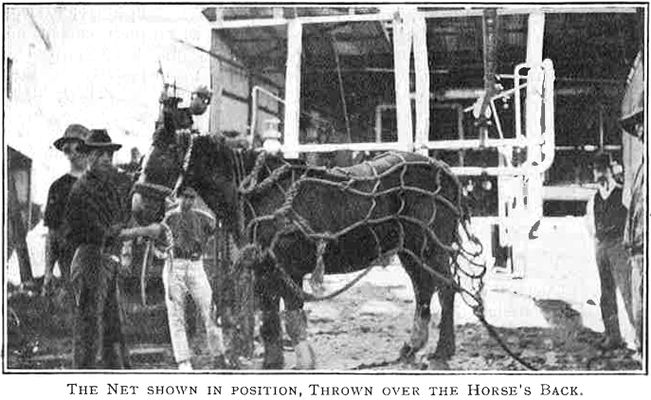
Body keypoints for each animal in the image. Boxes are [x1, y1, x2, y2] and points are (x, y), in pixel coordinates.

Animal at [131, 114, 476, 369]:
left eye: (162, 157)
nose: (138, 208)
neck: (259, 192)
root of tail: (445, 171)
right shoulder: (263, 267)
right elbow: (269, 316)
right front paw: (272, 362)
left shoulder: (288, 267)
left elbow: (292, 314)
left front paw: (304, 361)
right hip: (410, 251)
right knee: (423, 290)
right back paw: (411, 347)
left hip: (431, 248)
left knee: (445, 289)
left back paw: (442, 352)